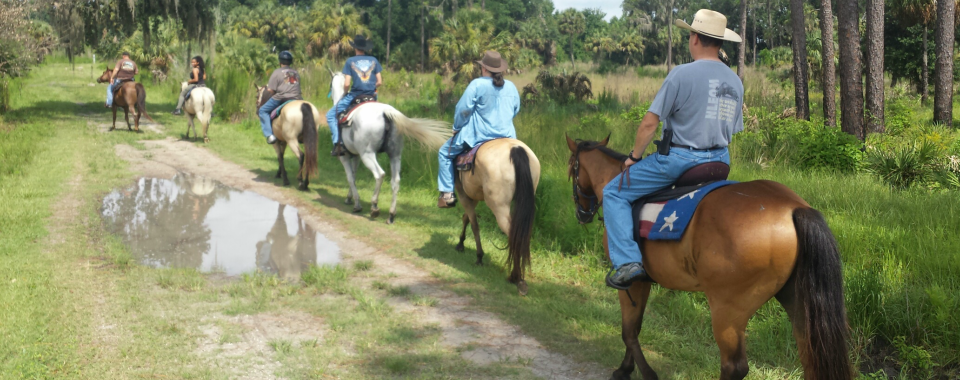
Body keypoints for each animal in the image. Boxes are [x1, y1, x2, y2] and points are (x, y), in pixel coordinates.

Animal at [328, 72, 452, 223]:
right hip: (394, 155)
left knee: (380, 174)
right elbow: (354, 174)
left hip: (367, 155)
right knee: (395, 181)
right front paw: (349, 198)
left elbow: (350, 177)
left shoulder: (345, 157)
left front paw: (356, 204)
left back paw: (374, 206)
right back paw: (391, 215)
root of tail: (386, 112)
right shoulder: (356, 156)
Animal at [568, 136, 852, 380]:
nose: (582, 214)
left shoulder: (634, 282)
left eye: (571, 169)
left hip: (728, 310)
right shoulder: (643, 282)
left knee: (734, 367)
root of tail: (794, 208)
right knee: (810, 356)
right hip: (798, 301)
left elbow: (629, 331)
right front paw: (626, 368)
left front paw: (636, 372)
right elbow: (633, 329)